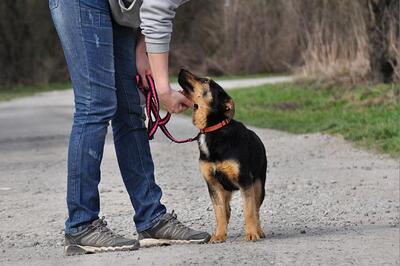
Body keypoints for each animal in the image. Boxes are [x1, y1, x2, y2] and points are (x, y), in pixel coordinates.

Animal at [179, 69, 268, 243]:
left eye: (206, 81)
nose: (181, 70)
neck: (212, 129)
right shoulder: (212, 183)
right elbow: (219, 212)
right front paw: (219, 235)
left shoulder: (245, 181)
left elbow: (249, 211)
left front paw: (251, 233)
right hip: (225, 189)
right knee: (227, 210)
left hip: (259, 185)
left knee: (256, 209)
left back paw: (259, 231)